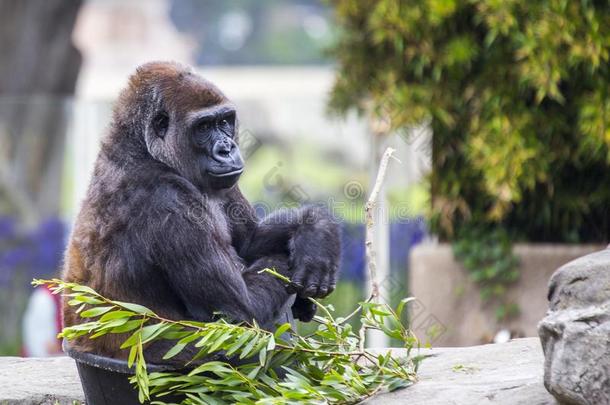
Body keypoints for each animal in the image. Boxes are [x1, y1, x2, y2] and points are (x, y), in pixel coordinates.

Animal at [63, 61, 340, 362]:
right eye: (203, 126)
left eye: (224, 121)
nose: (227, 149)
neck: (143, 148)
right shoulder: (170, 199)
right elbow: (241, 315)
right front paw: (293, 274)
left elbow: (251, 240)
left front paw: (316, 235)